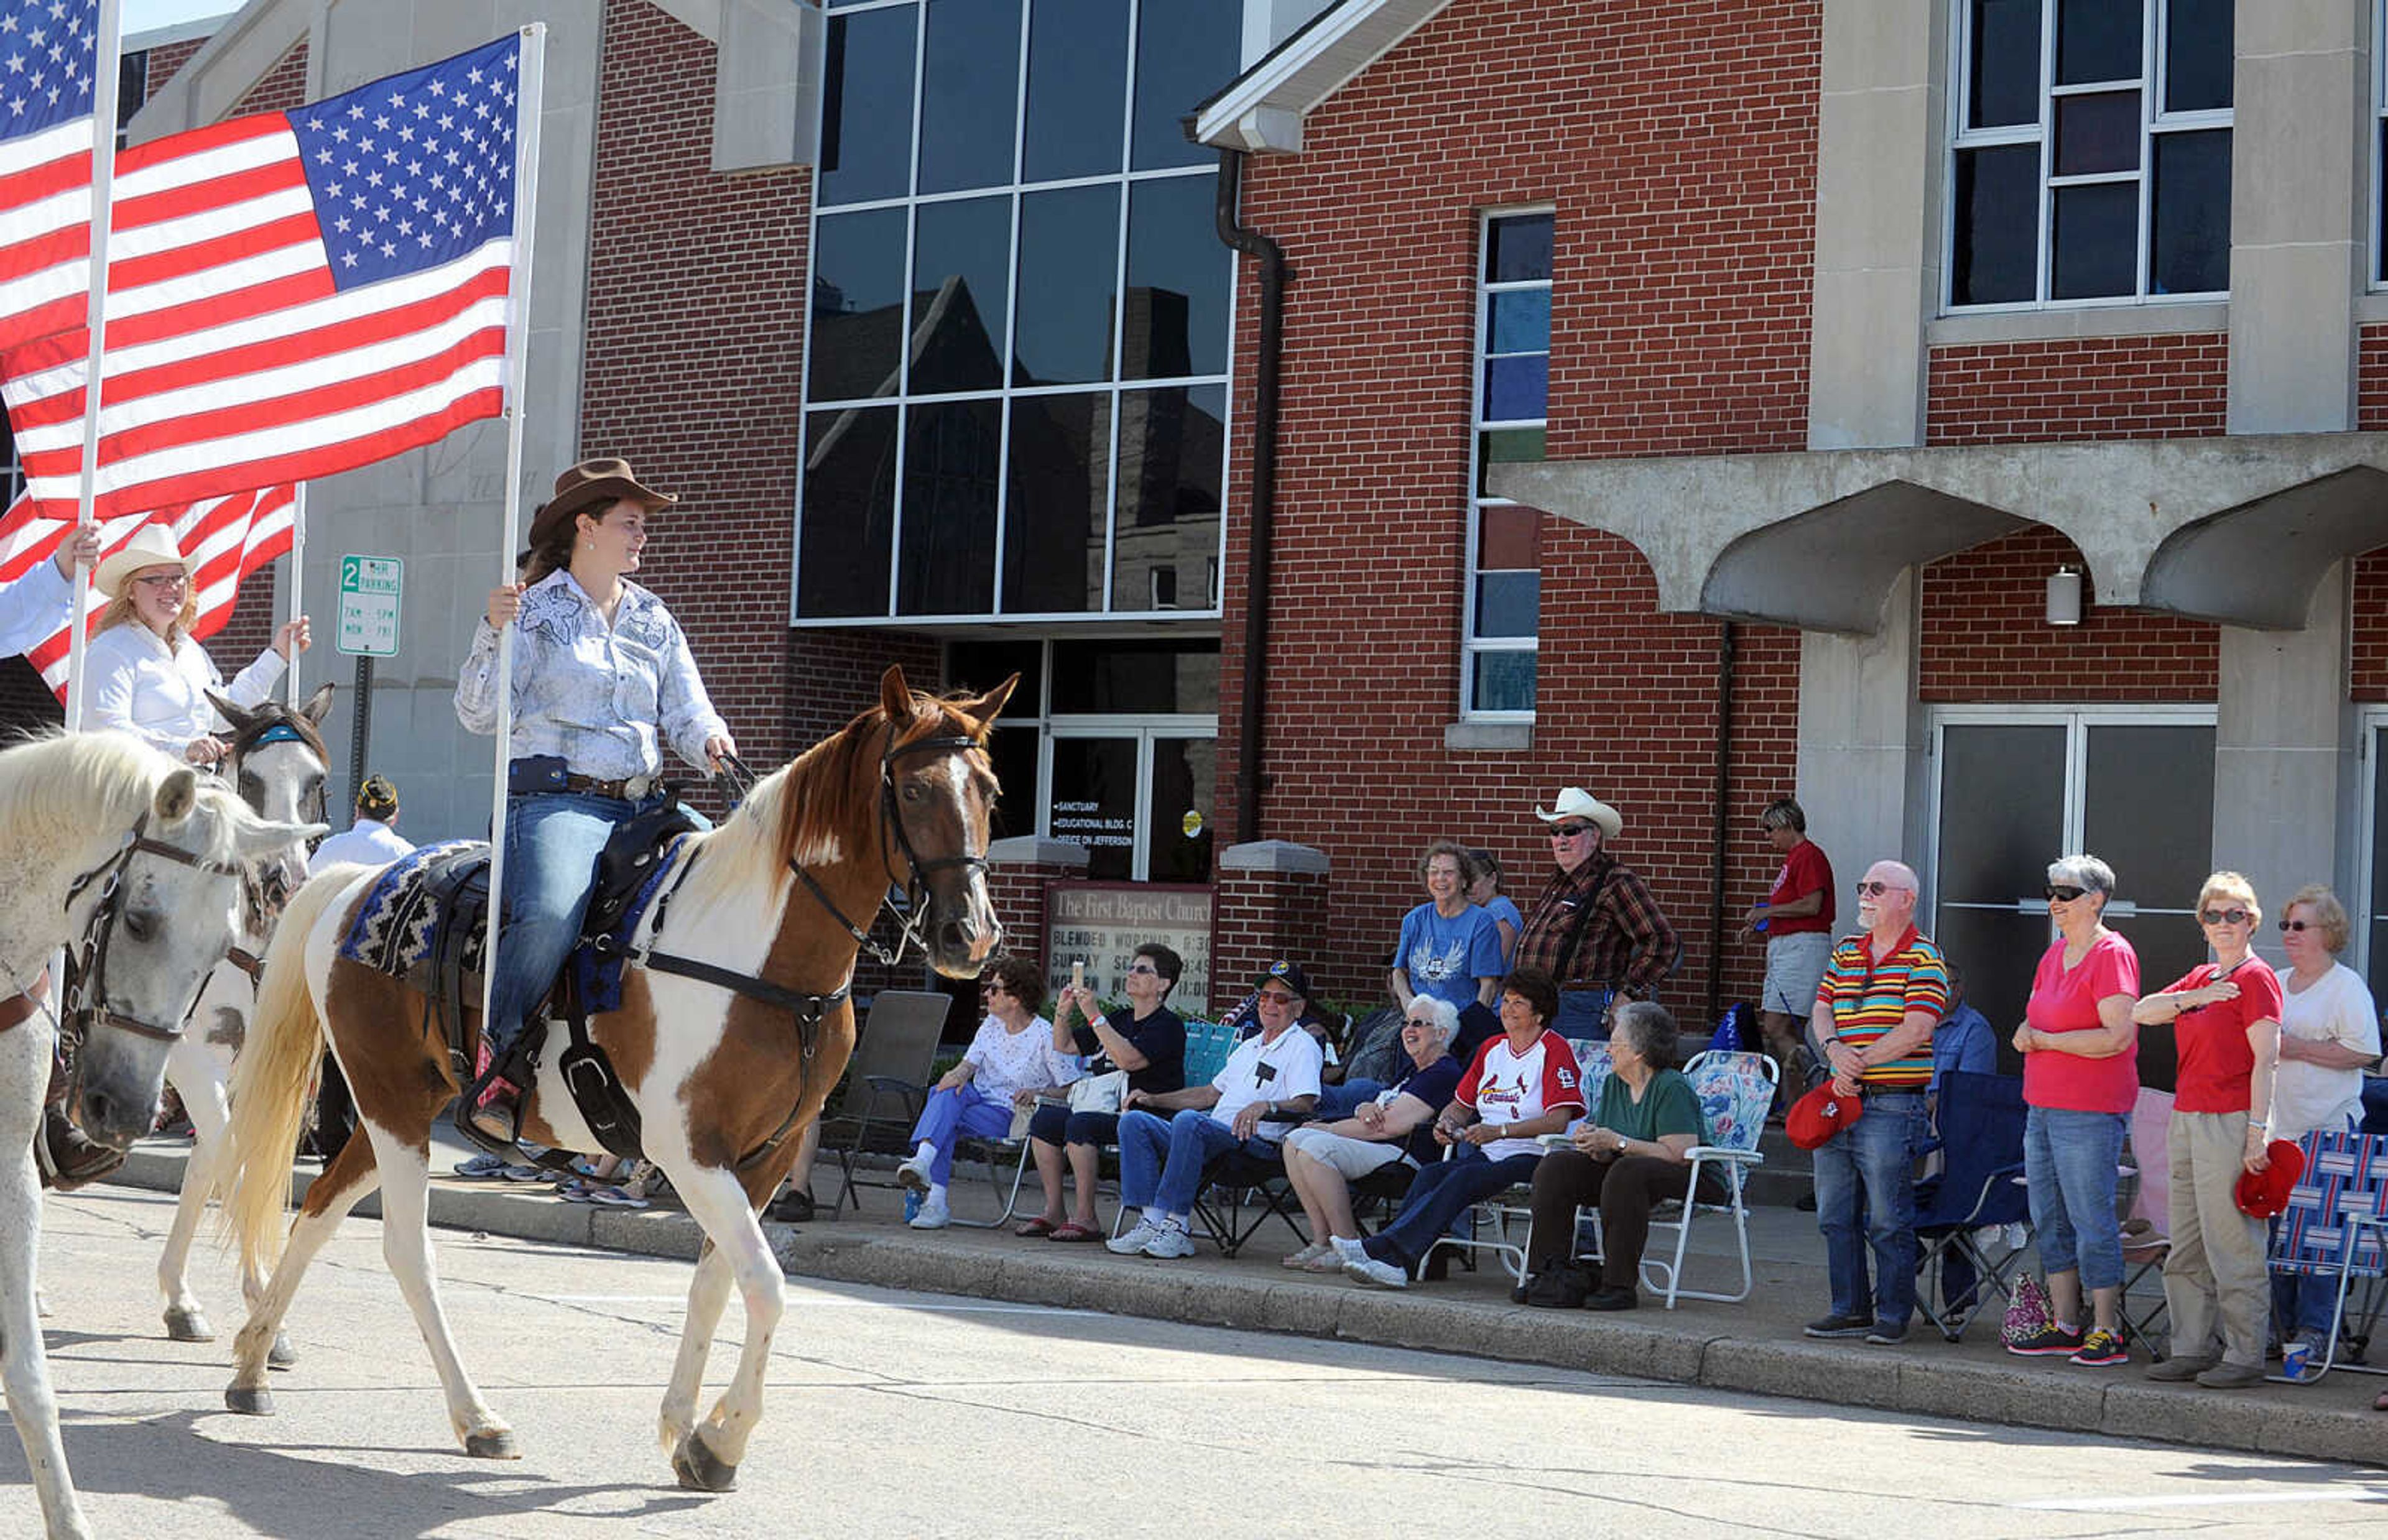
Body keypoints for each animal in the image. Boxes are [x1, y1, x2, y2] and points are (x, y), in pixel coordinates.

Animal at [159, 683, 331, 1346]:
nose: (286, 878)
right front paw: (262, 1308)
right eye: (252, 780)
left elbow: (213, 1160)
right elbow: (232, 1158)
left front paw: (182, 1300)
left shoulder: (250, 1065)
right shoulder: (190, 1057)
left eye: (314, 779)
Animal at [215, 663, 1017, 1490]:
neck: (763, 958)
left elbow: (718, 1280)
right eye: (914, 790)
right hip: (393, 1104)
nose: (970, 935)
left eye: (990, 791)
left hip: (396, 1106)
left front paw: (689, 1431)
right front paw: (723, 1438)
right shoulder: (689, 1148)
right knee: (406, 1248)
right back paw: (477, 1417)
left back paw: (253, 1365)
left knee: (319, 1207)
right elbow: (766, 1285)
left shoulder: (760, 1159)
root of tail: (356, 881)